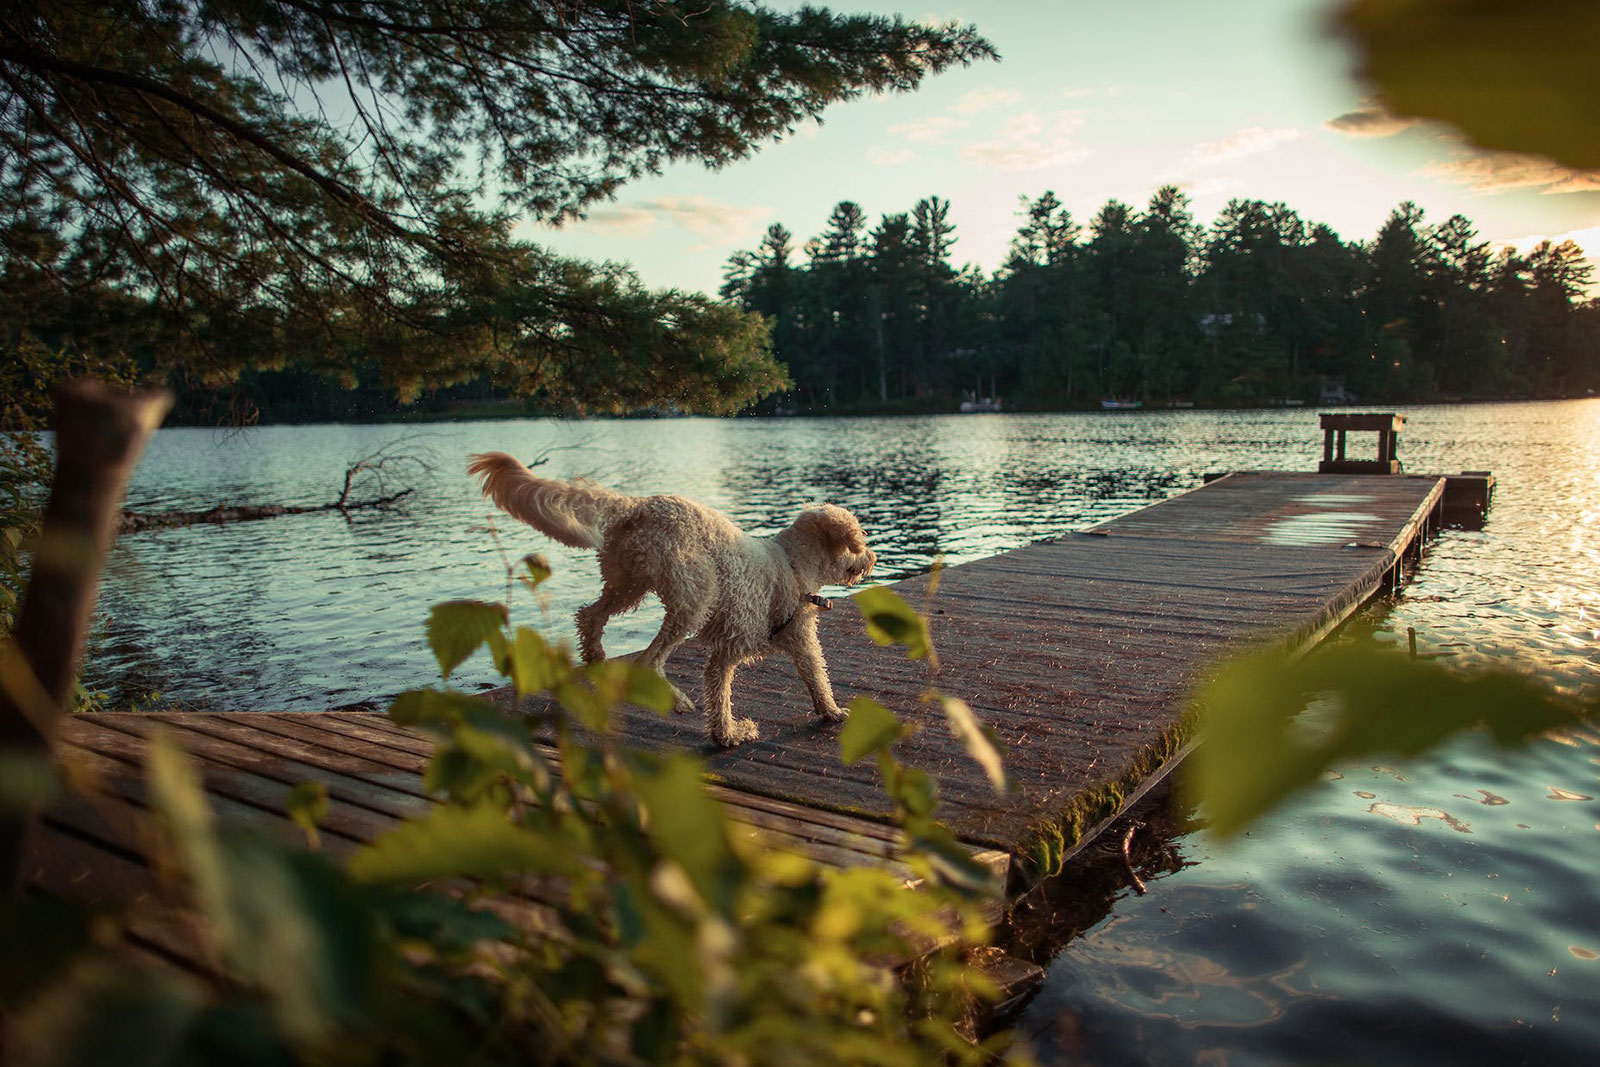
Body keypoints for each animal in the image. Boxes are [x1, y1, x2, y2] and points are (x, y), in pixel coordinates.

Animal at [467, 454, 883, 748]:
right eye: (859, 539)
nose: (873, 557)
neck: (791, 564)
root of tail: (637, 506)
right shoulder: (727, 652)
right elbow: (724, 697)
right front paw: (730, 735)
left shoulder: (794, 644)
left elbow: (815, 678)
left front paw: (828, 712)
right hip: (693, 599)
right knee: (649, 660)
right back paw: (676, 700)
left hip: (627, 584)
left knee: (590, 616)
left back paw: (597, 659)